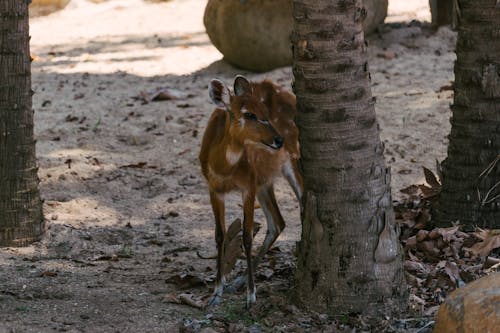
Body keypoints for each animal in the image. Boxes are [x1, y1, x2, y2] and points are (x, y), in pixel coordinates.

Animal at [200, 75, 302, 306]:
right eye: (249, 114)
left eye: (265, 112)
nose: (278, 140)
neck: (224, 168)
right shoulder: (214, 189)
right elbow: (220, 234)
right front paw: (217, 291)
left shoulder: (248, 186)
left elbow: (247, 236)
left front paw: (251, 296)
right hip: (265, 182)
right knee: (278, 222)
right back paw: (237, 281)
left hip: (293, 161)